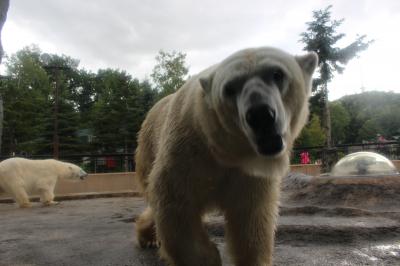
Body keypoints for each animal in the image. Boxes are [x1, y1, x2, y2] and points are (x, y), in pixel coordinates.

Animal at [136, 46, 318, 264]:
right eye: (230, 88)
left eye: (277, 74)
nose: (260, 114)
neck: (227, 152)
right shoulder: (185, 154)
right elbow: (174, 202)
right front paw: (208, 258)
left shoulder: (249, 175)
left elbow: (250, 219)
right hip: (148, 150)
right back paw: (148, 238)